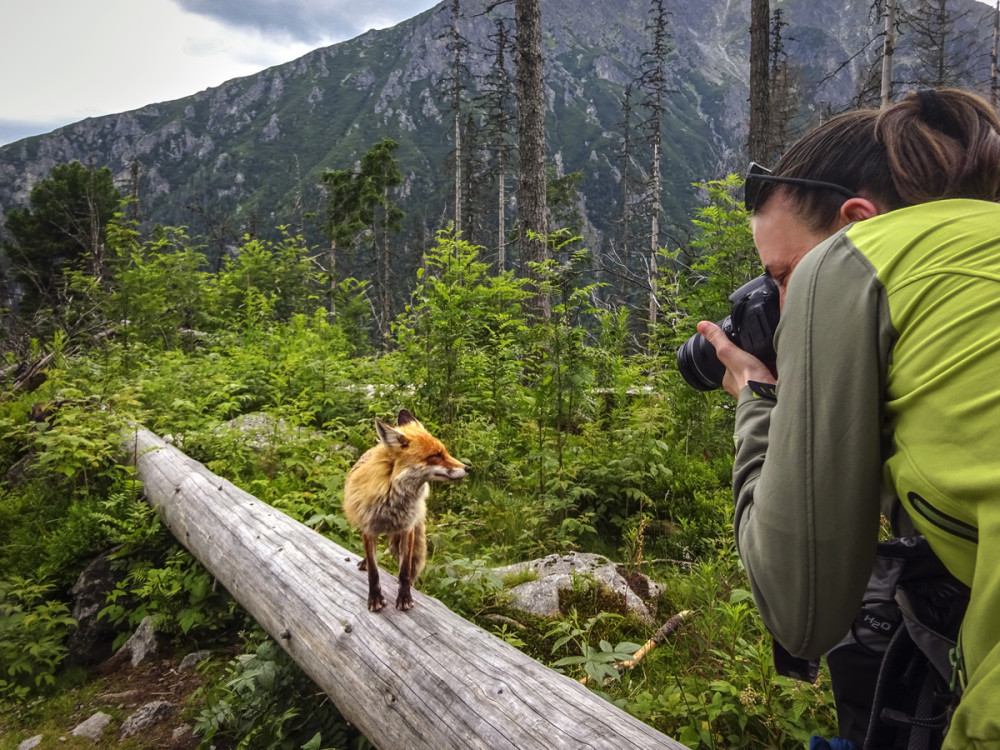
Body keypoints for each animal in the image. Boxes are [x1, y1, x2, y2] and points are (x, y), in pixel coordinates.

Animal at [342, 412, 470, 612]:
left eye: (445, 452)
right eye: (436, 455)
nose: (468, 468)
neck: (390, 498)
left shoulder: (407, 529)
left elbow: (404, 571)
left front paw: (404, 597)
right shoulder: (369, 529)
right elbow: (374, 572)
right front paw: (375, 598)